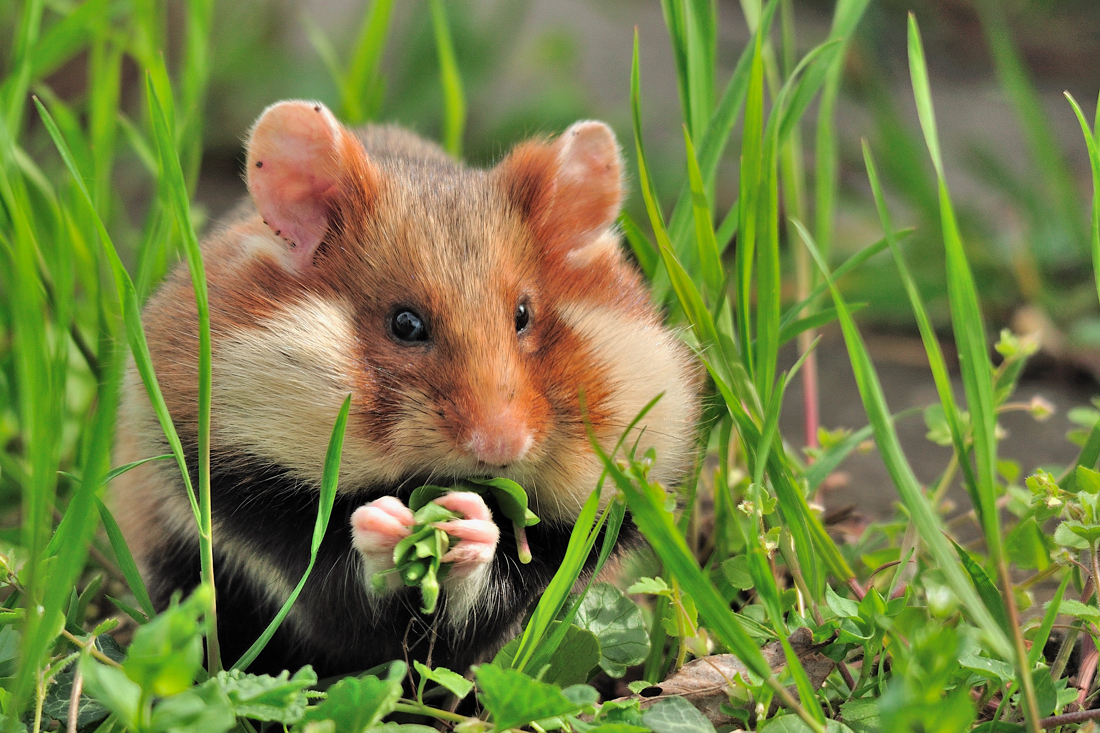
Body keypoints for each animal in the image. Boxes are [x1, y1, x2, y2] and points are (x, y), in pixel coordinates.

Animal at [109, 100, 695, 677]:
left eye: (523, 315)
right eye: (405, 324)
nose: (500, 449)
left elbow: (496, 595)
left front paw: (470, 520)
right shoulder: (250, 503)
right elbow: (337, 588)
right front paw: (387, 519)